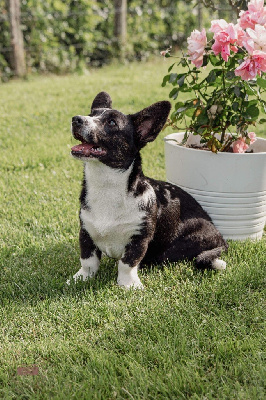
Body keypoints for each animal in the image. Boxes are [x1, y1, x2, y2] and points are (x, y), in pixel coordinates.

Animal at [67, 92, 228, 290]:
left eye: (112, 123)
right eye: (91, 114)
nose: (76, 119)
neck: (106, 185)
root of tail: (221, 238)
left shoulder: (139, 238)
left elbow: (127, 263)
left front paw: (128, 284)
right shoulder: (86, 232)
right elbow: (88, 261)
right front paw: (81, 278)